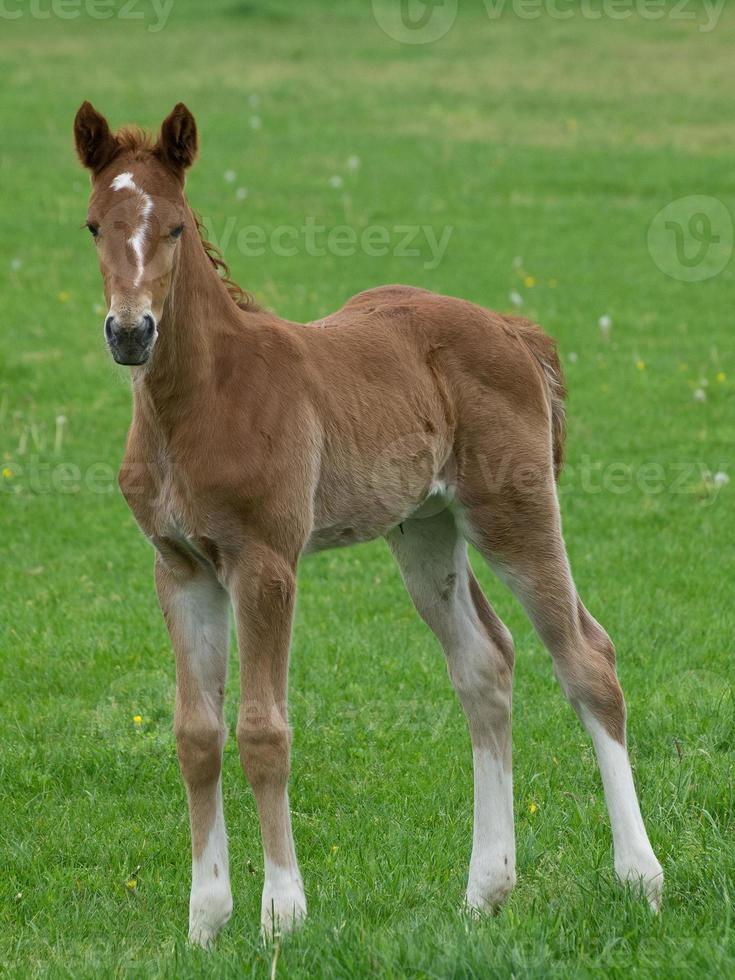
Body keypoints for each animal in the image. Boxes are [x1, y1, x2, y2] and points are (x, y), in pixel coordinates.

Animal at [76, 103, 668, 944]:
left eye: (175, 227)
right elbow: (196, 735)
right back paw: (485, 891)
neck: (198, 401)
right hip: (425, 530)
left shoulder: (265, 561)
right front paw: (204, 920)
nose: (131, 333)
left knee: (587, 659)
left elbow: (262, 730)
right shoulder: (180, 567)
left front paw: (281, 913)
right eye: (94, 224)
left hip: (512, 511)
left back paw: (639, 877)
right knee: (484, 665)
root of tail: (510, 328)